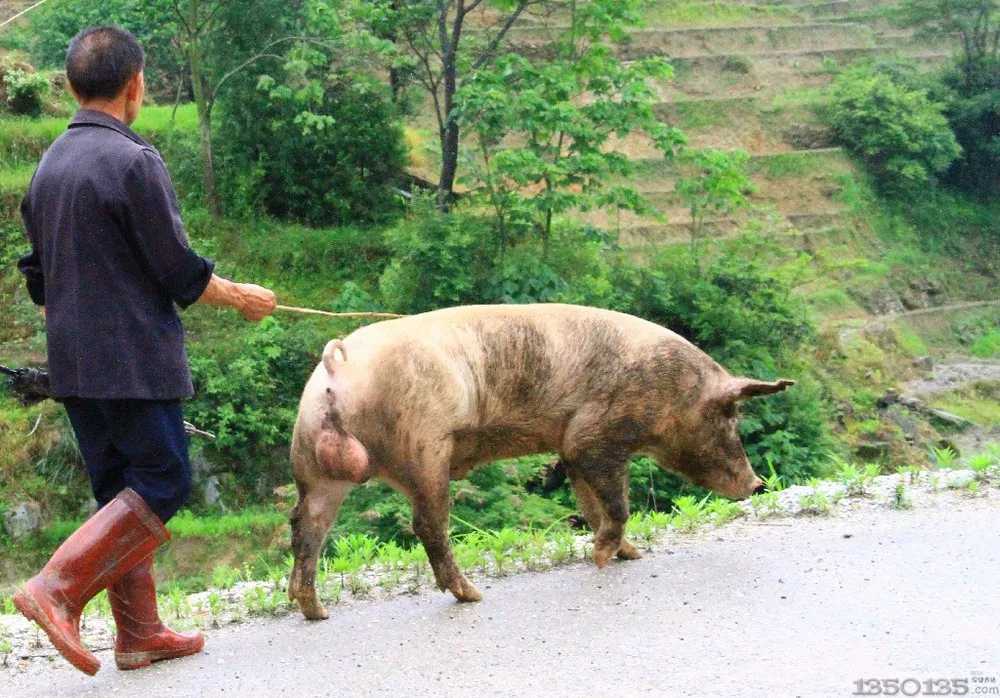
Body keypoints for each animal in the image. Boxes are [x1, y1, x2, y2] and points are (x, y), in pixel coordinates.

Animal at [286, 302, 792, 616]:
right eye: (730, 415)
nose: (757, 485)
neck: (671, 390)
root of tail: (339, 363)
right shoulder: (594, 436)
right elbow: (616, 503)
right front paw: (603, 559)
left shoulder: (570, 449)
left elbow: (592, 504)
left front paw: (631, 554)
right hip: (423, 446)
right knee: (427, 525)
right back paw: (473, 595)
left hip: (313, 462)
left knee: (305, 524)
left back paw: (315, 611)